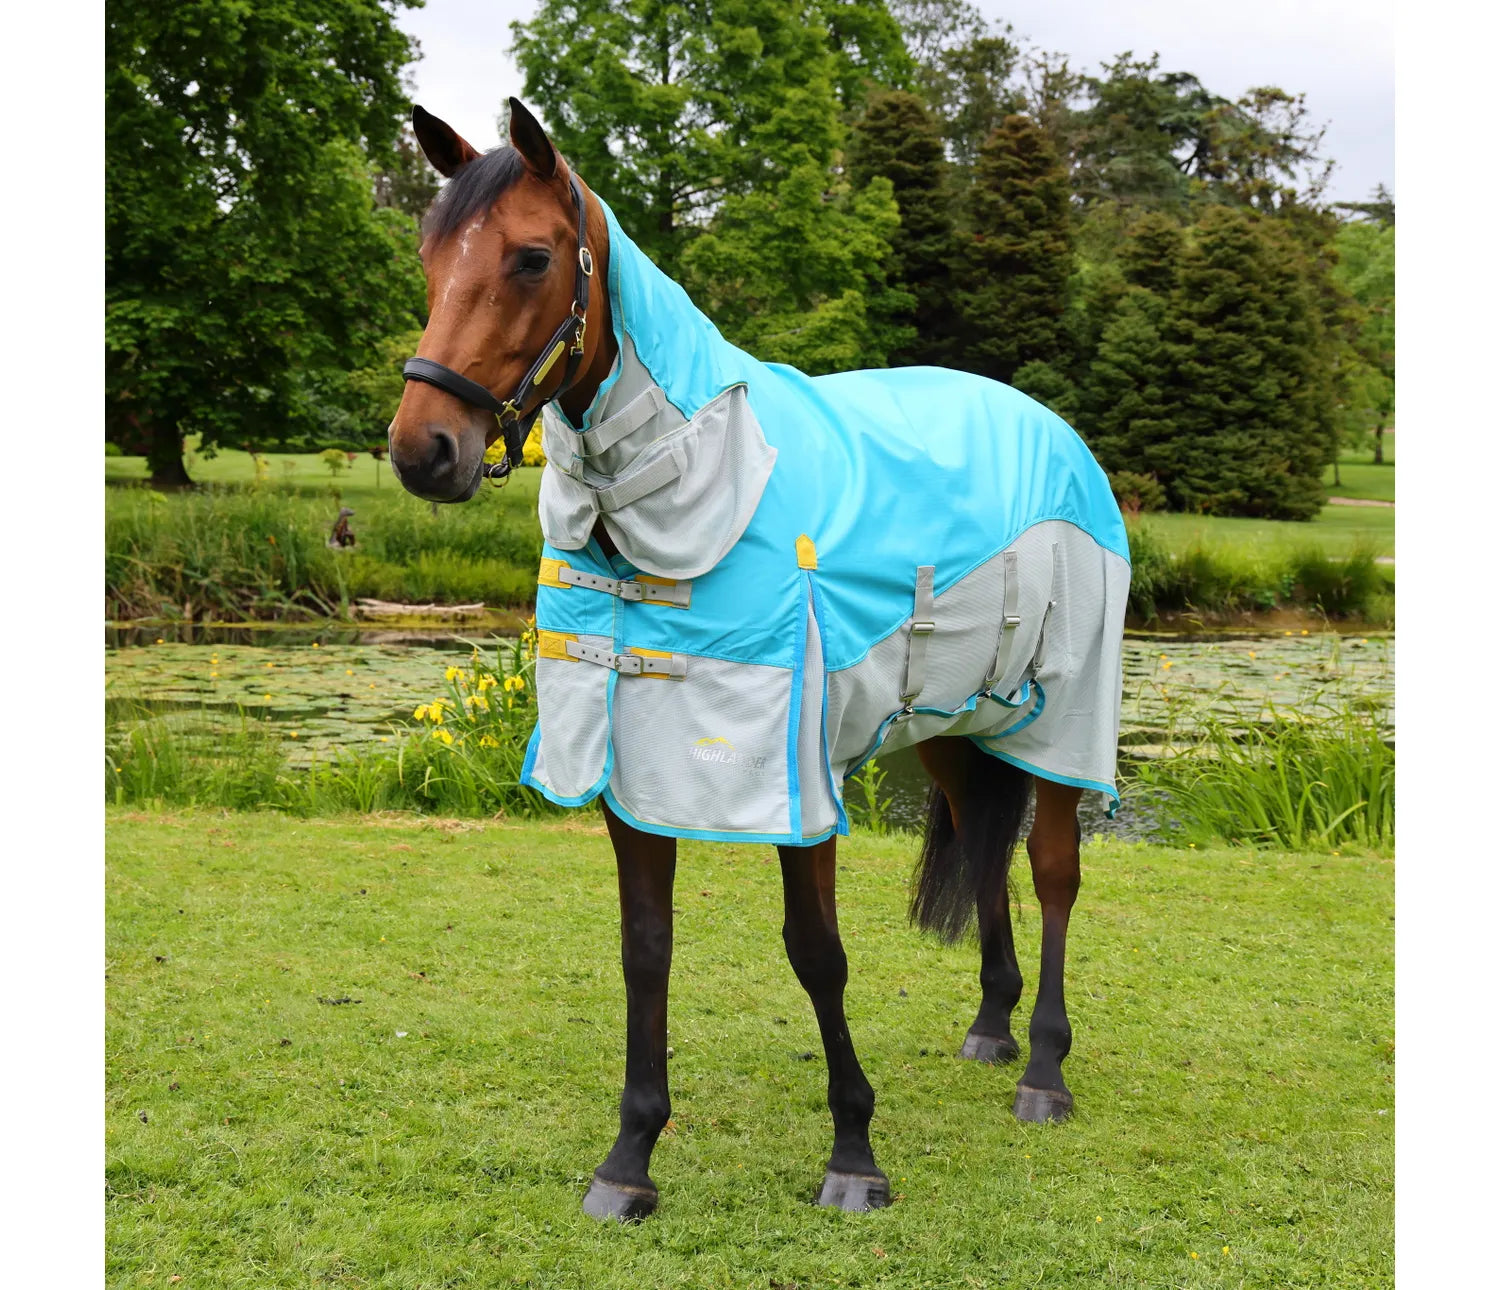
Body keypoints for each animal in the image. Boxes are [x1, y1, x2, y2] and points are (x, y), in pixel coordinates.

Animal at [388, 98, 1131, 1222]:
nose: (422, 449)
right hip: (957, 726)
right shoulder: (634, 767)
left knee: (1052, 870)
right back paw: (993, 1027)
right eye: (433, 258)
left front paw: (854, 1153)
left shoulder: (797, 777)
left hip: (1063, 721)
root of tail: (1052, 431)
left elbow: (816, 953)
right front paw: (630, 1158)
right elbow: (644, 951)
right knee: (984, 846)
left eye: (529, 256)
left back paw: (1044, 1066)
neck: (704, 480)